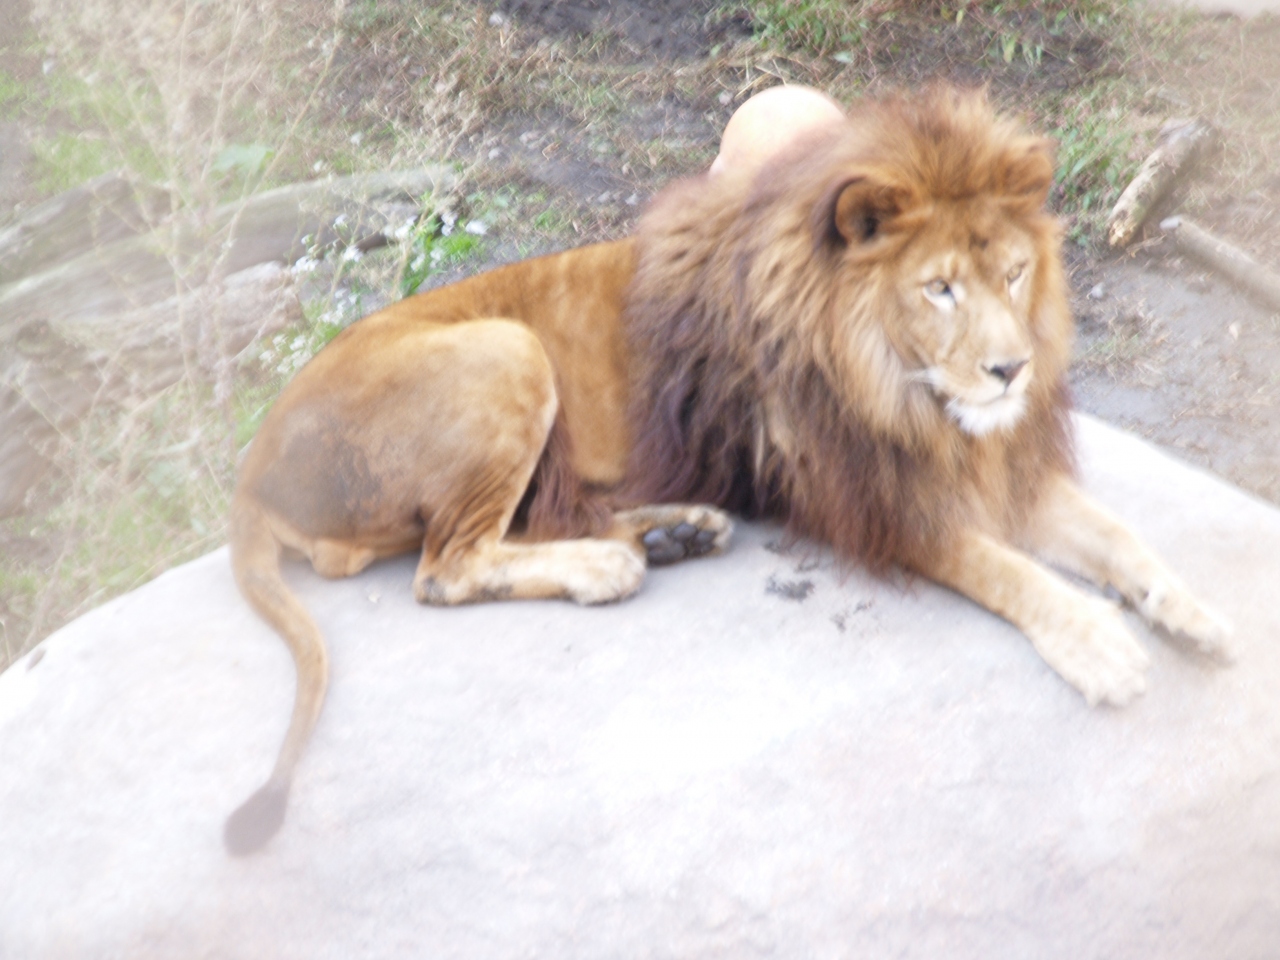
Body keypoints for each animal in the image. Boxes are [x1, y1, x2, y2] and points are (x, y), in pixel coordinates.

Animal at [227, 86, 1228, 855]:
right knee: (445, 568)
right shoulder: (872, 501)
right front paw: (1098, 643)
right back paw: (612, 565)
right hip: (506, 349)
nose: (1011, 370)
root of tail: (253, 464)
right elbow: (1009, 572)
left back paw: (677, 530)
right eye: (940, 287)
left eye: (1015, 273)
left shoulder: (993, 468)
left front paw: (1191, 609)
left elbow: (1117, 536)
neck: (906, 394)